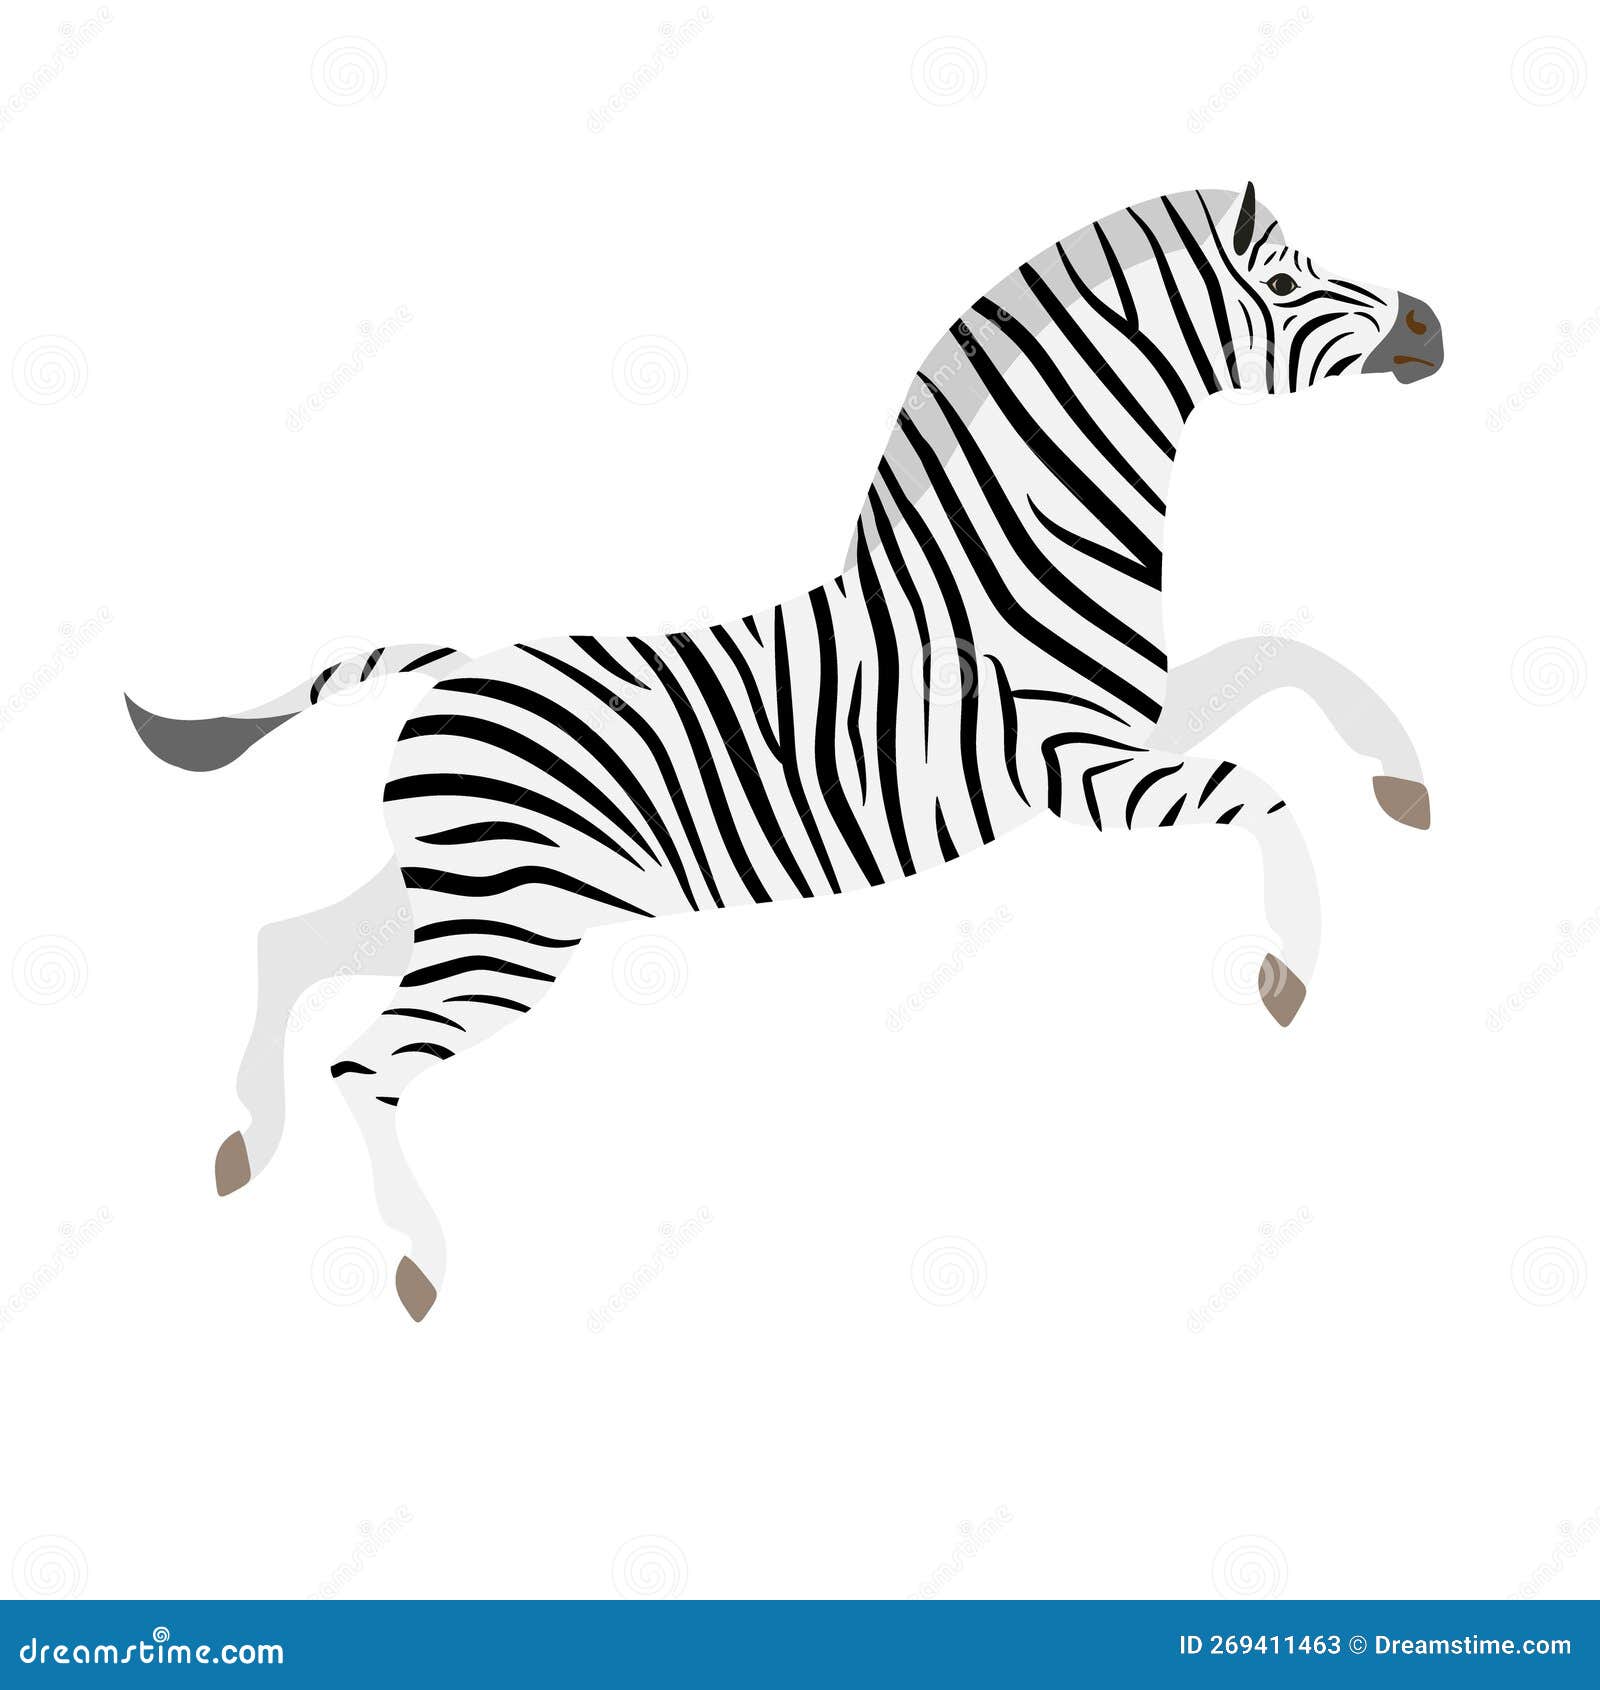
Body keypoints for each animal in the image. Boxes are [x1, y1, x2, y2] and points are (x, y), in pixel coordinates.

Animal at [127, 183, 1444, 1321]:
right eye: (1284, 279)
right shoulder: (1079, 767)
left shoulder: (1135, 728)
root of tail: (442, 669)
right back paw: (416, 1264)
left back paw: (242, 1143)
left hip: (470, 896)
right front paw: (1286, 975)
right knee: (365, 1061)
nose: (1430, 323)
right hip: (508, 927)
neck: (1016, 564)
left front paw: (1404, 781)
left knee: (288, 944)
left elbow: (1289, 662)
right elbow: (1266, 795)